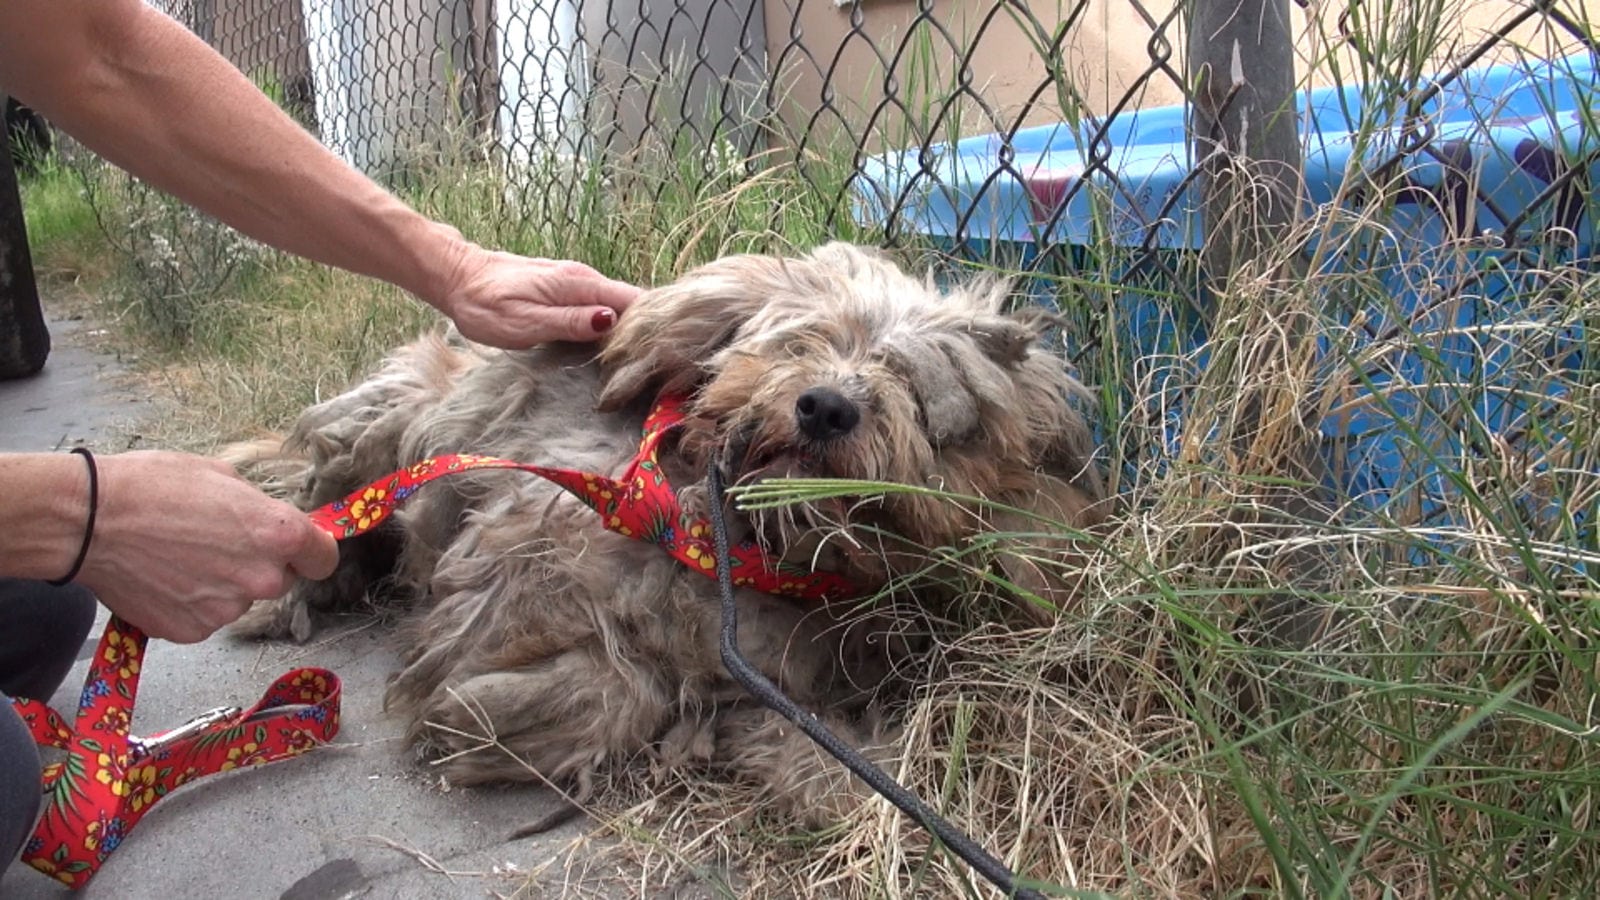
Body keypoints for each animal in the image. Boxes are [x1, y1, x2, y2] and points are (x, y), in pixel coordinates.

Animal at [236, 240, 1107, 819]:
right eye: (808, 339)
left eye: (923, 394)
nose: (825, 406)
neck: (730, 546)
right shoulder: (510, 564)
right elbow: (605, 680)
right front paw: (484, 714)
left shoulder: (763, 687)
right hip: (395, 423)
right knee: (331, 497)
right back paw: (299, 583)